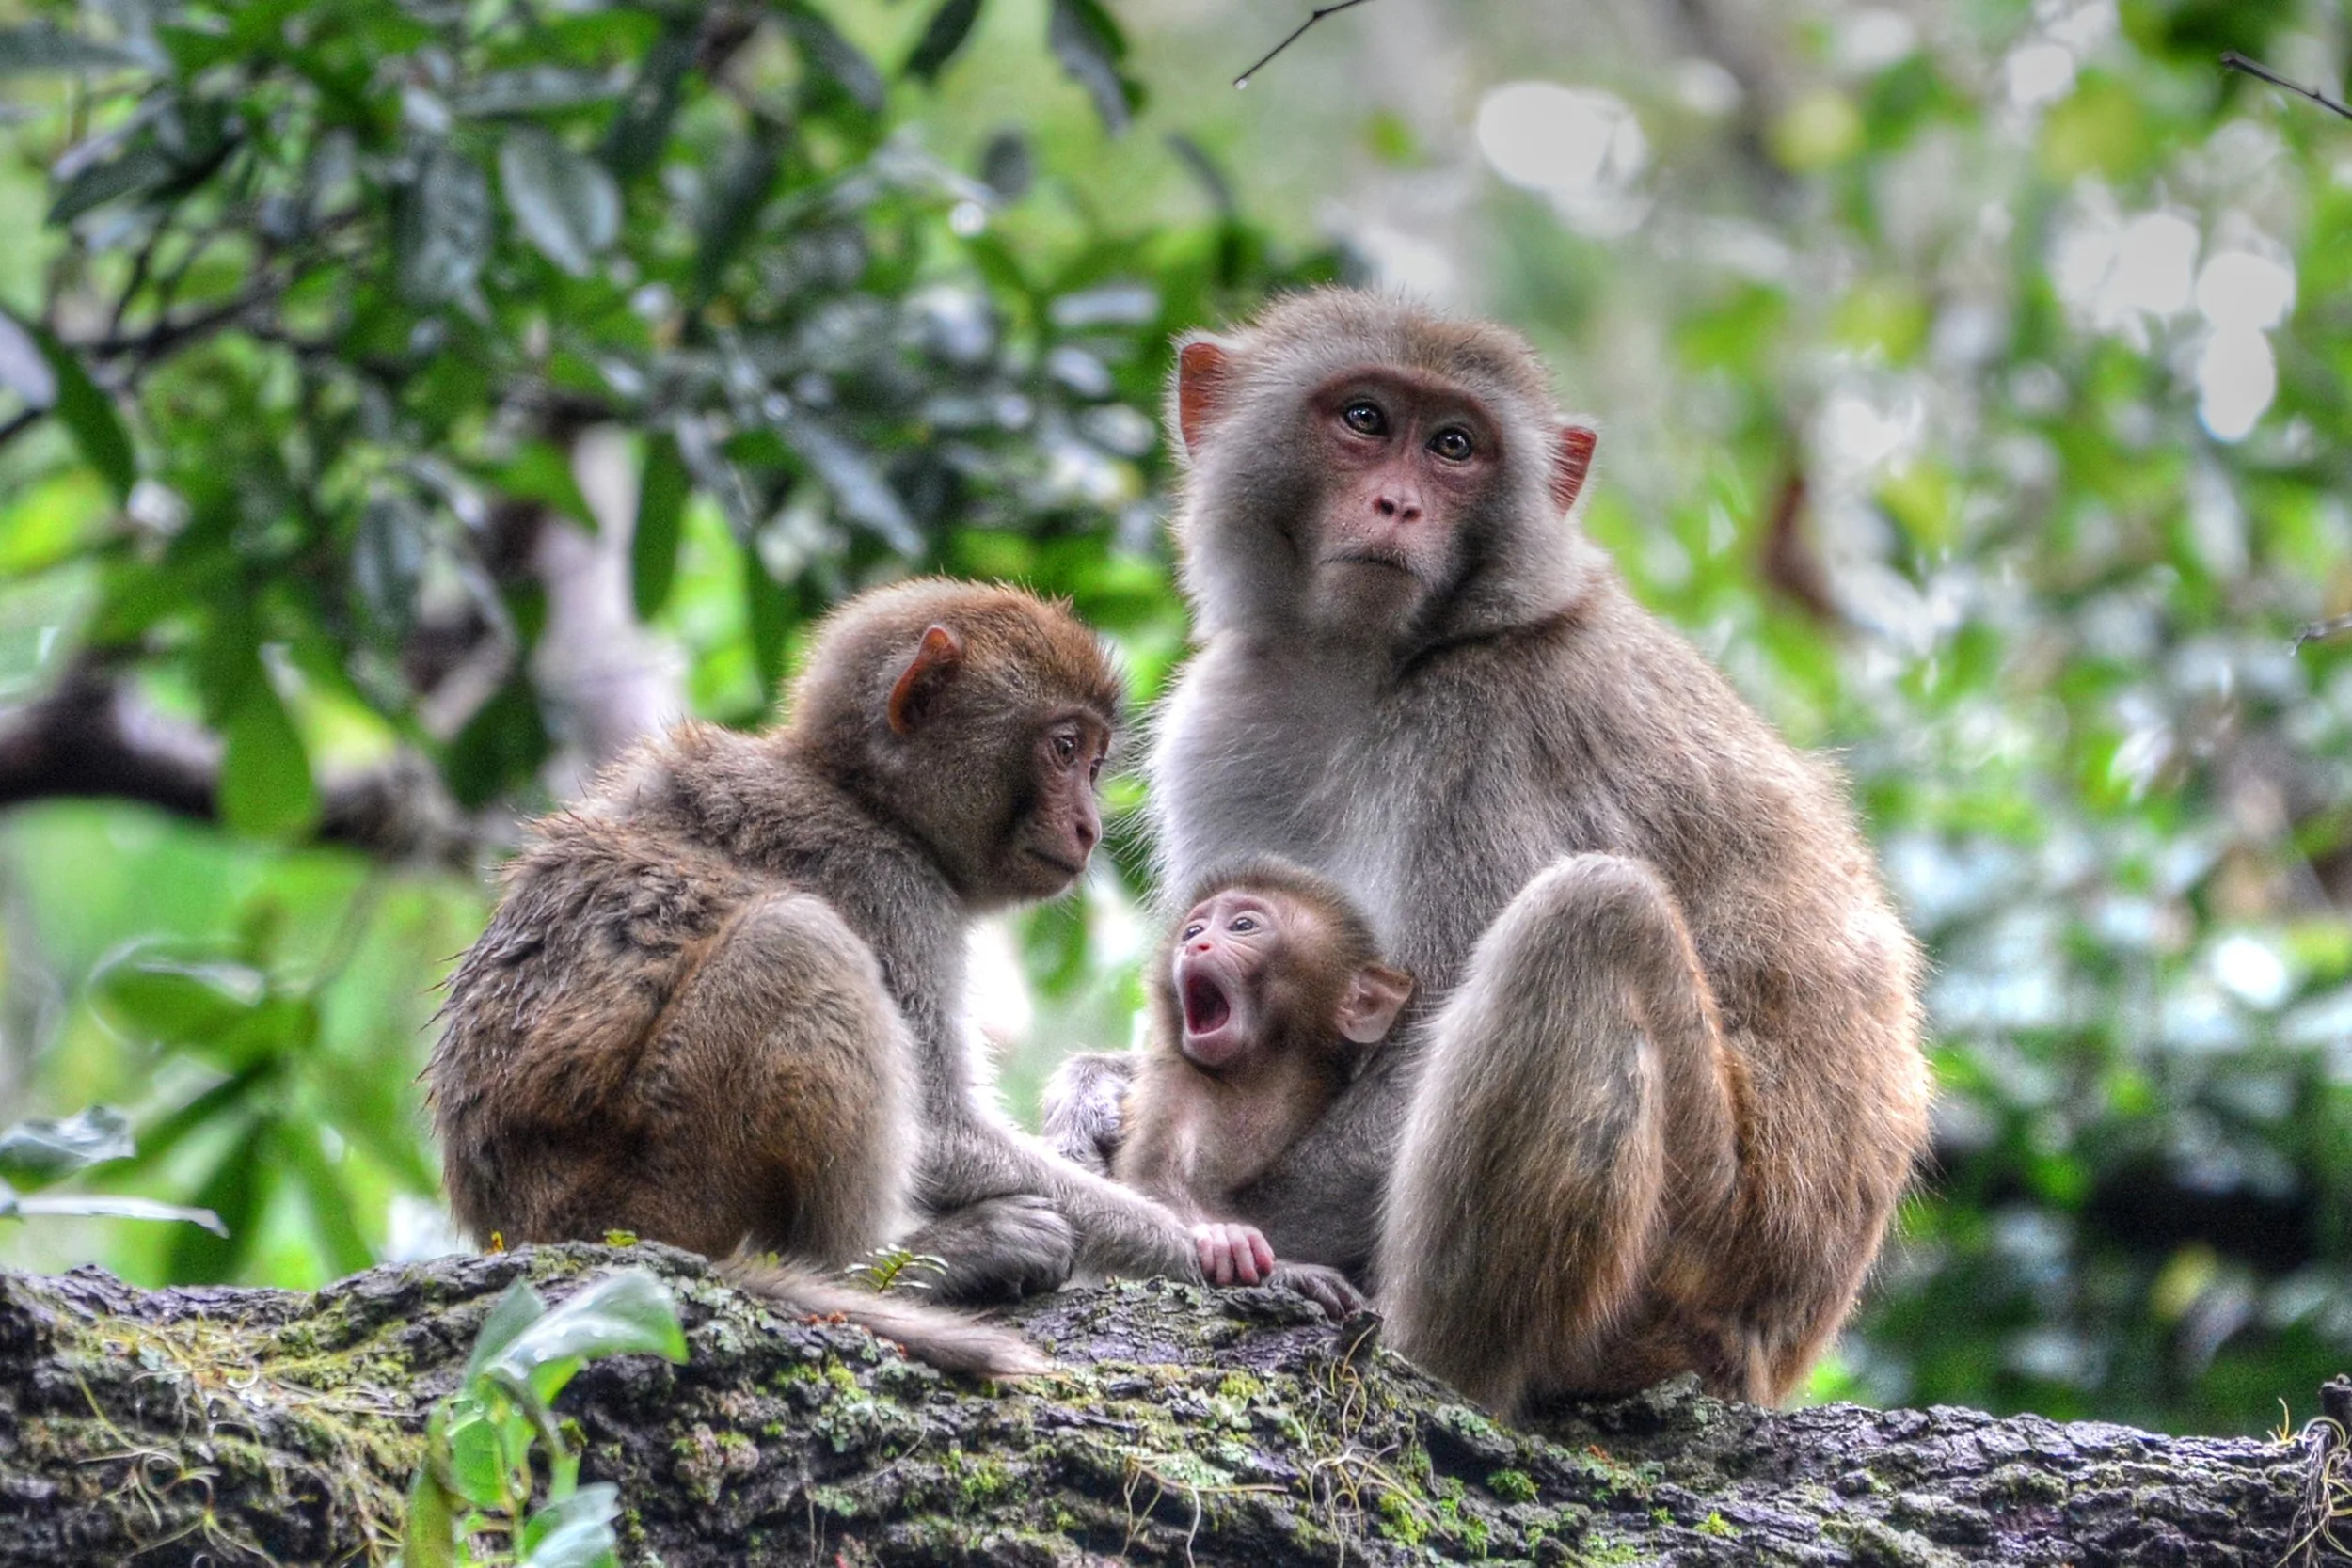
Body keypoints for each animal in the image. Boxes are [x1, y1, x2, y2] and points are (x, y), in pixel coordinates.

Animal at [427, 578, 1203, 1377]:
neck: (864, 796)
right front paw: (1202, 1248)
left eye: (1093, 761)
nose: (1089, 827)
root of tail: (533, 1224)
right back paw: (892, 1268)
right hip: (659, 1188)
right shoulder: (889, 881)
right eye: (1064, 748)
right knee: (797, 938)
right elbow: (938, 1129)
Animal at [1047, 860, 1409, 1321]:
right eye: (1193, 930)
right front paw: (1235, 1248)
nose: (1196, 944)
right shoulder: (1177, 1084)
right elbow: (1151, 1183)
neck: (1258, 1076)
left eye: (1243, 926)